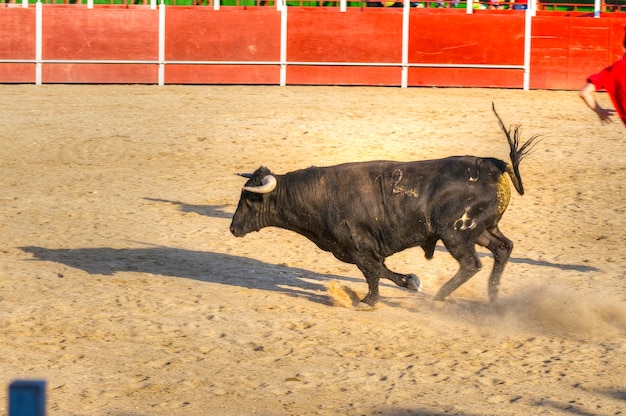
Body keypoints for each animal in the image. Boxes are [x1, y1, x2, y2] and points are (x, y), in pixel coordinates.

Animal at [228, 109, 536, 306]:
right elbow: (381, 270)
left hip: (456, 234)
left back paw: (439, 298)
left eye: (250, 200)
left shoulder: (358, 247)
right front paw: (410, 281)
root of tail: (494, 164)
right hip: (482, 229)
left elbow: (373, 272)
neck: (318, 196)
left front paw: (370, 300)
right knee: (503, 248)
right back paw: (493, 297)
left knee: (471, 264)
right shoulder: (359, 249)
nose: (232, 228)